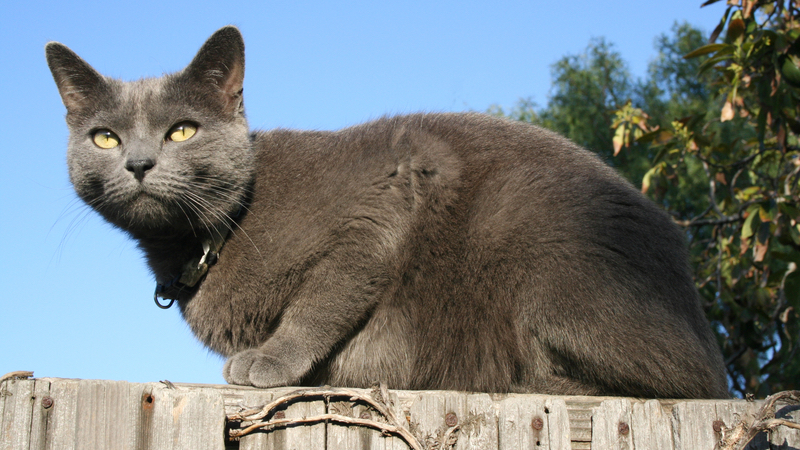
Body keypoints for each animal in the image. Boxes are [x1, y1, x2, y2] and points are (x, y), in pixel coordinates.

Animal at [47, 26, 728, 398]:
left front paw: (272, 359)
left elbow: (322, 298)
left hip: (546, 256)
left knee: (679, 380)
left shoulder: (386, 197)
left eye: (183, 131)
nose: (138, 163)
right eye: (105, 138)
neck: (210, 236)